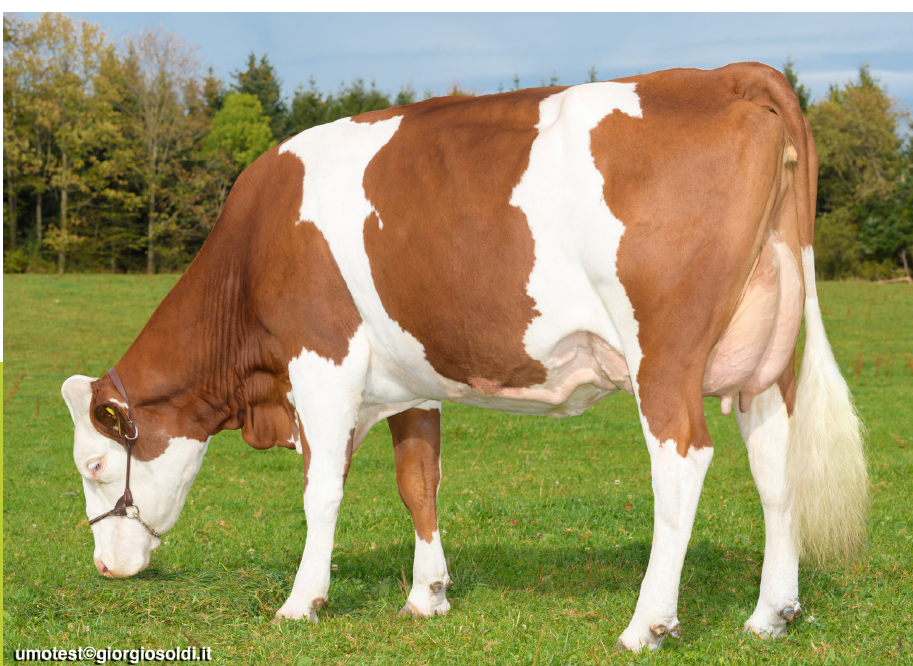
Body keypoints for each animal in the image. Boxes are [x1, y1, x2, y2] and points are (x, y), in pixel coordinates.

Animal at [62, 62, 867, 652]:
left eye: (96, 465)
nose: (103, 567)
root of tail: (726, 74)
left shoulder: (321, 360)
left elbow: (321, 490)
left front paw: (302, 601)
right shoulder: (411, 381)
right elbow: (419, 482)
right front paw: (426, 596)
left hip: (663, 355)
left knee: (682, 461)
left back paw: (647, 624)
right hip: (763, 359)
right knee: (774, 465)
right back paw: (771, 615)